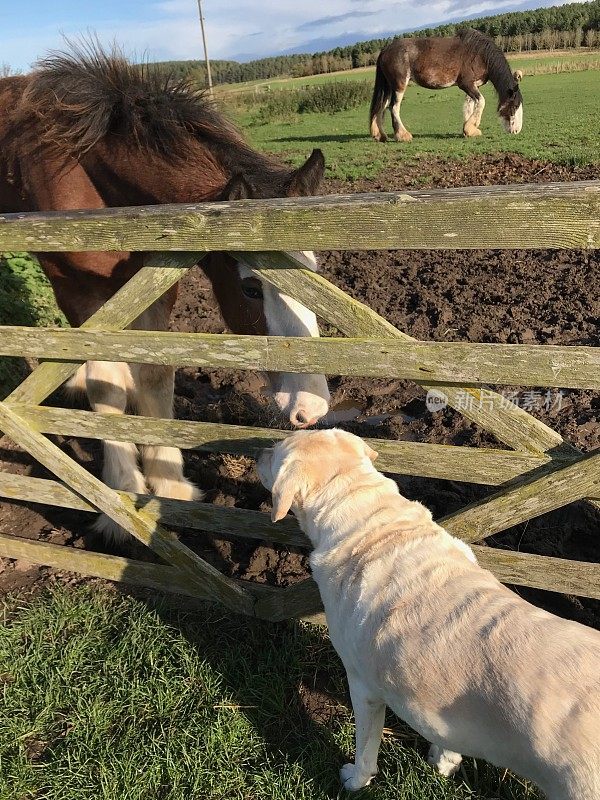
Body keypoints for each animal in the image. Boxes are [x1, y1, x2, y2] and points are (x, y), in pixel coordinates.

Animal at [0, 45, 332, 544]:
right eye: (250, 287)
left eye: (315, 270)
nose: (310, 408)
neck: (86, 170)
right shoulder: (79, 293)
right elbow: (106, 384)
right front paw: (119, 498)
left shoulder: (155, 283)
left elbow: (154, 375)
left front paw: (171, 487)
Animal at [258, 432, 600, 800]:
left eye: (276, 453)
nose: (258, 452)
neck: (372, 521)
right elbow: (447, 737)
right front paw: (445, 762)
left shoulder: (363, 685)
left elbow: (365, 748)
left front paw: (355, 780)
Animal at [372, 27, 524, 141]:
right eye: (514, 106)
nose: (516, 131)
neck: (479, 54)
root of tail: (385, 50)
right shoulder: (466, 84)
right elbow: (481, 102)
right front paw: (471, 128)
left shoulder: (473, 86)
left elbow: (470, 106)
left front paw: (469, 130)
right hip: (399, 85)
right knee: (393, 107)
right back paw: (402, 135)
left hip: (389, 87)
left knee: (381, 106)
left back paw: (380, 135)